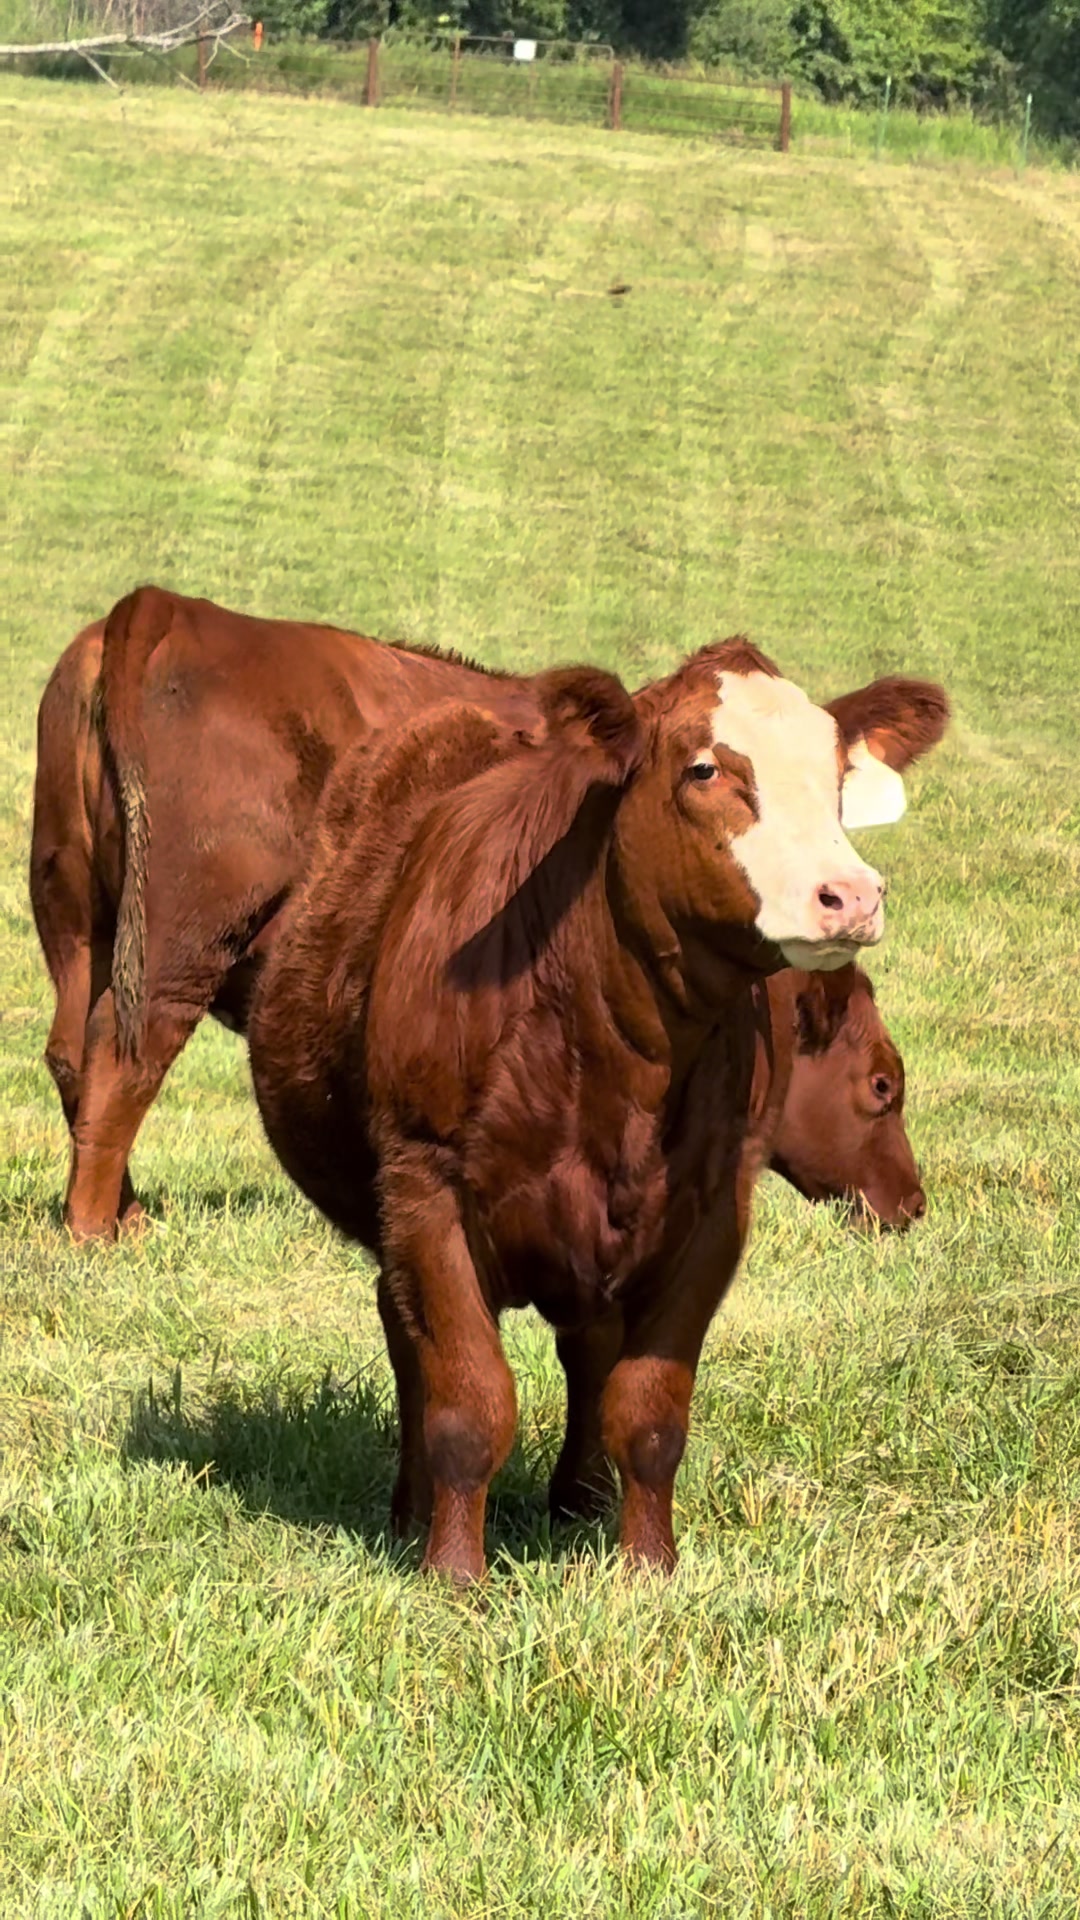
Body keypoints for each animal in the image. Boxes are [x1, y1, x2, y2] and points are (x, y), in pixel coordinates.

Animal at [247, 643, 948, 1580]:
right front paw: (453, 1573)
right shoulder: (426, 1188)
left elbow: (648, 1408)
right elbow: (468, 1400)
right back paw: (411, 1512)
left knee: (583, 1349)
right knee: (408, 1338)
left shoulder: (711, 1212)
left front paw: (648, 1566)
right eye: (703, 768)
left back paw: (577, 1502)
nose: (852, 895)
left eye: (838, 777)